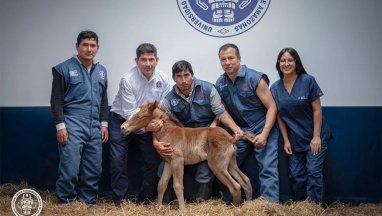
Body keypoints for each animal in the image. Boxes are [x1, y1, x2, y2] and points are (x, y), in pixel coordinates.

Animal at [121, 101, 254, 211]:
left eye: (139, 116)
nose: (122, 127)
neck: (168, 133)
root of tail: (230, 138)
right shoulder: (168, 162)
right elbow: (161, 184)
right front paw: (158, 208)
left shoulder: (178, 161)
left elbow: (178, 185)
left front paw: (183, 210)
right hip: (230, 164)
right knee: (245, 180)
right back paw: (248, 205)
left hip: (217, 166)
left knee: (235, 186)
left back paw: (235, 209)